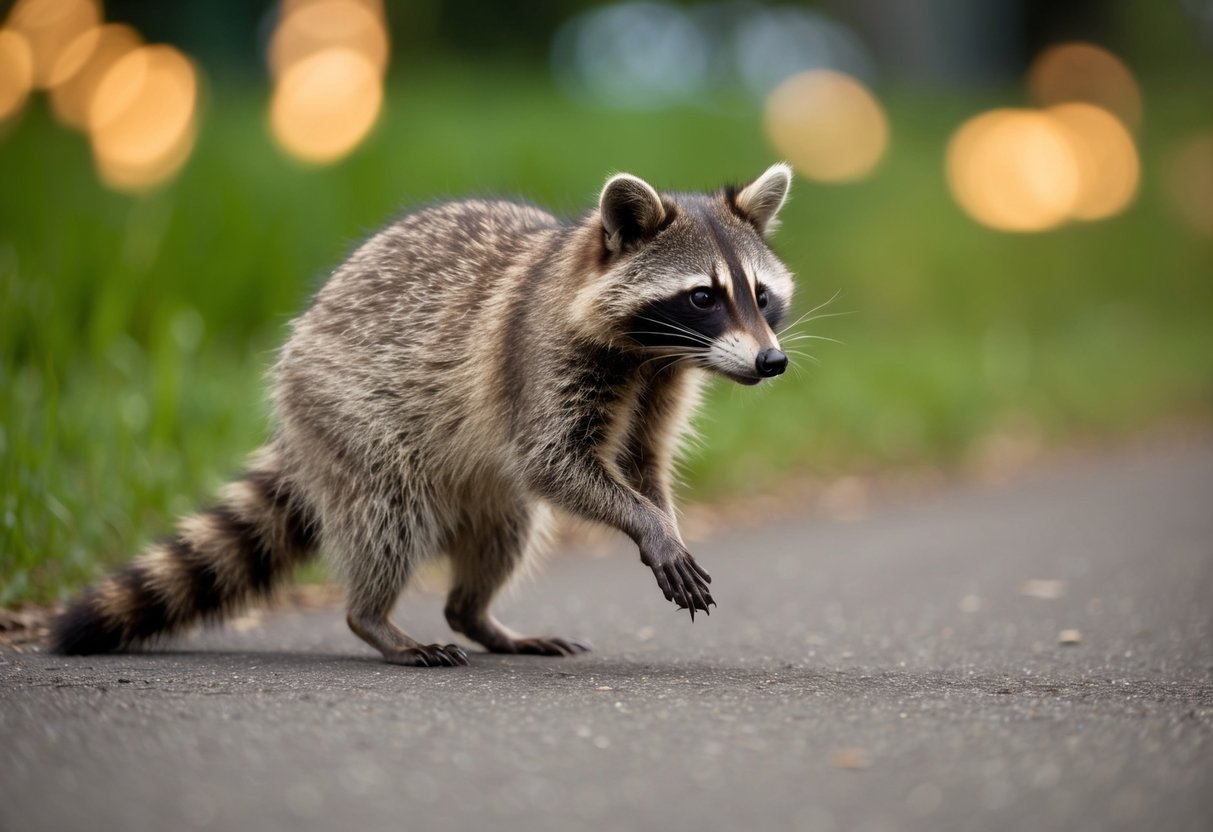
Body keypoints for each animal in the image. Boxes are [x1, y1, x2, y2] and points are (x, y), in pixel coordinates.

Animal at [52, 163, 796, 667]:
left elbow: (641, 463)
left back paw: (475, 615)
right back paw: (373, 618)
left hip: (478, 488)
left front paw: (659, 517)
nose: (772, 362)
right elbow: (553, 460)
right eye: (702, 297)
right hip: (347, 411)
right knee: (390, 514)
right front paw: (649, 526)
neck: (649, 354)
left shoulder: (661, 386)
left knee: (506, 530)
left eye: (760, 295)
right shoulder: (538, 358)